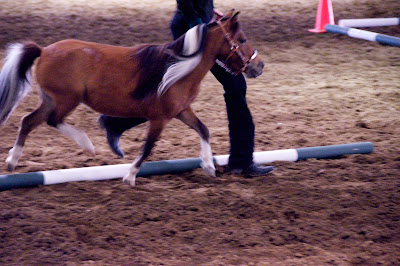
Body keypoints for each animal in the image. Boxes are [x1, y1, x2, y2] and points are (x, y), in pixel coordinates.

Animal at [0, 10, 264, 187]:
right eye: (242, 39)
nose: (259, 66)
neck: (178, 67)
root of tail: (44, 50)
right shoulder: (160, 118)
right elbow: (147, 148)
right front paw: (129, 176)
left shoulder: (181, 111)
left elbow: (204, 129)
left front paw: (209, 166)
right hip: (67, 99)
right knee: (52, 120)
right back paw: (87, 145)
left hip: (51, 99)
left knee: (28, 121)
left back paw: (12, 161)